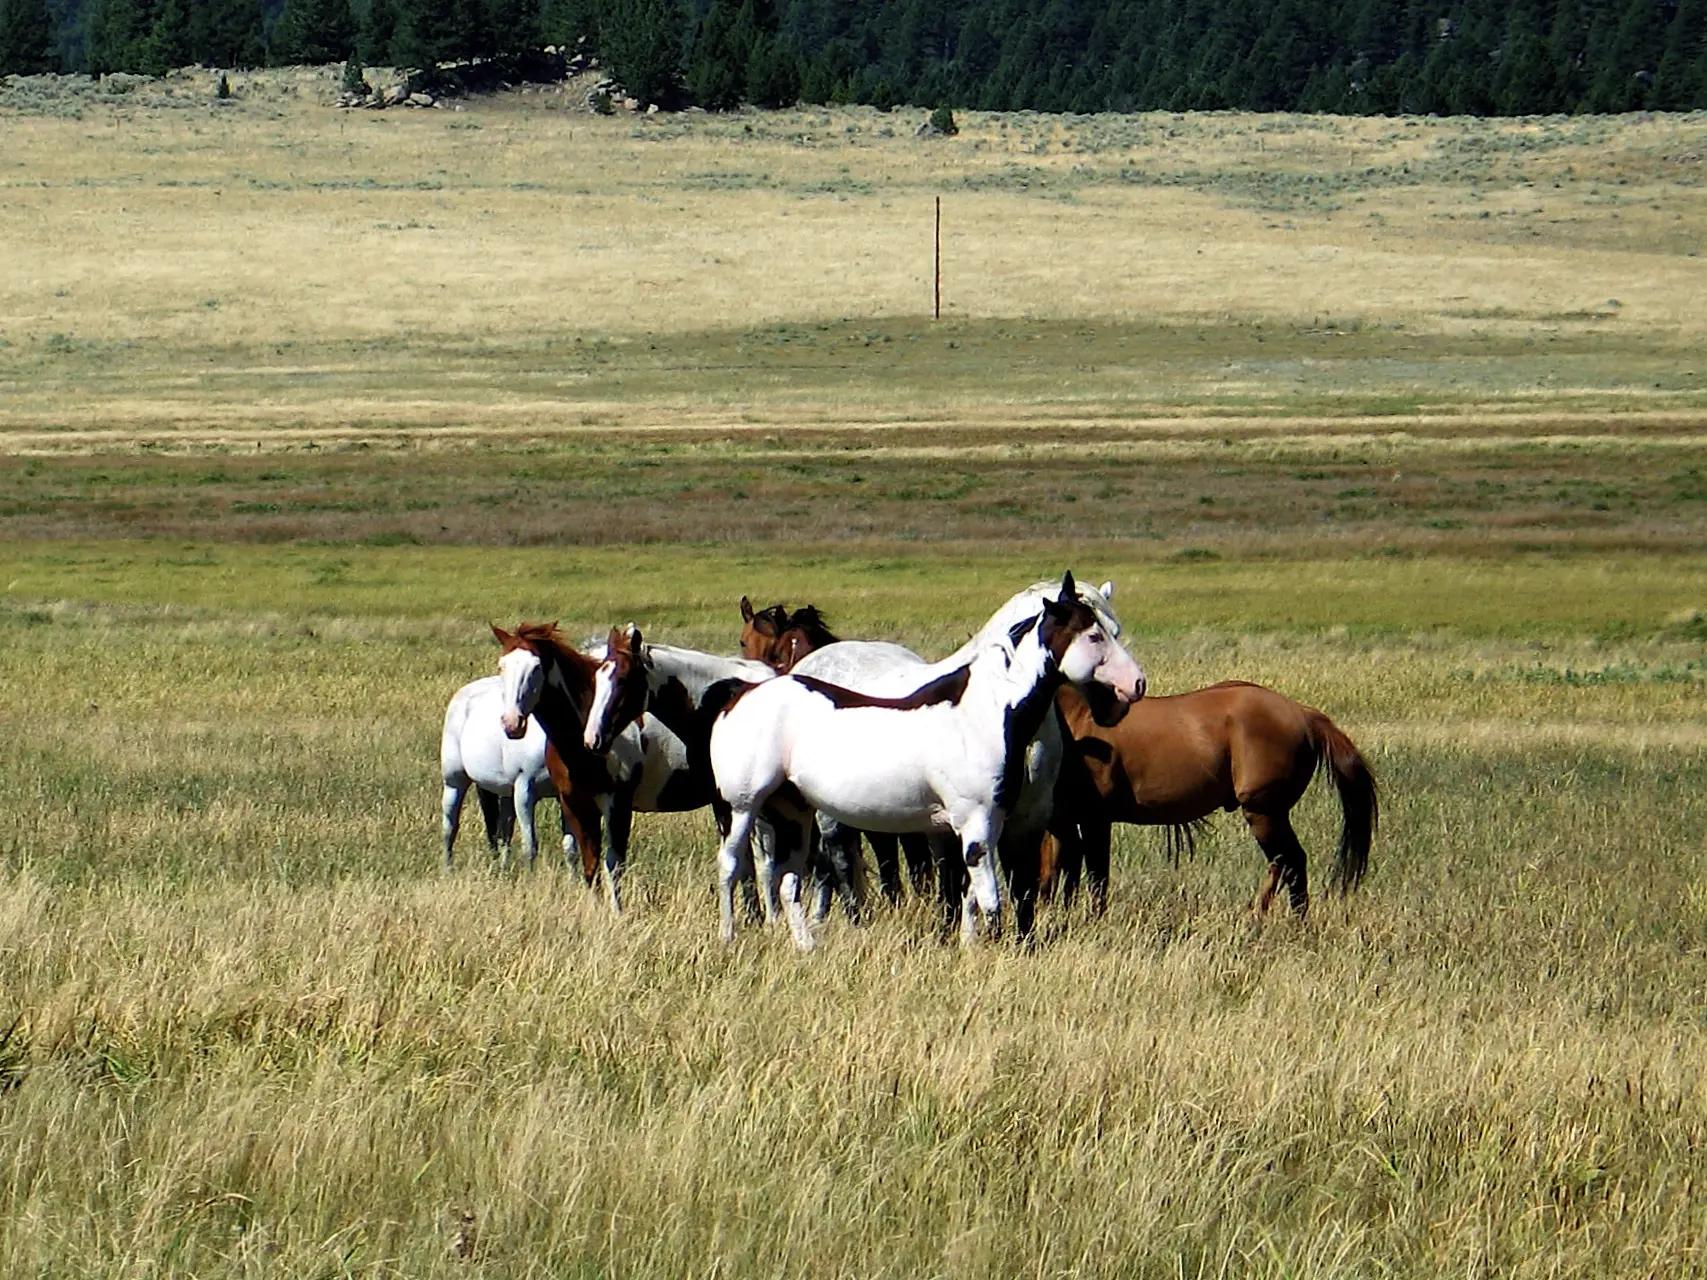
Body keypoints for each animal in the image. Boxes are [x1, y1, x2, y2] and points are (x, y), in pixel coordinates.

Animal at [706, 576, 1147, 948]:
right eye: (1094, 635)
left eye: (1114, 630)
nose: (1135, 686)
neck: (986, 710)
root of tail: (741, 695)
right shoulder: (974, 823)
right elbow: (989, 901)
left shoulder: (1001, 822)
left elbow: (978, 896)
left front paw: (971, 946)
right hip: (745, 807)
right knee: (734, 864)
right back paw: (729, 937)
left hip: (794, 811)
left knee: (789, 880)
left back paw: (807, 946)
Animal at [1044, 686, 1379, 914]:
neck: (1076, 719)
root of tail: (1304, 714)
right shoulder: (1061, 822)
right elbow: (1056, 871)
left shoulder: (1095, 820)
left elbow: (1096, 877)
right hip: (1269, 815)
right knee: (1283, 863)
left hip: (1263, 811)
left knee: (1291, 862)